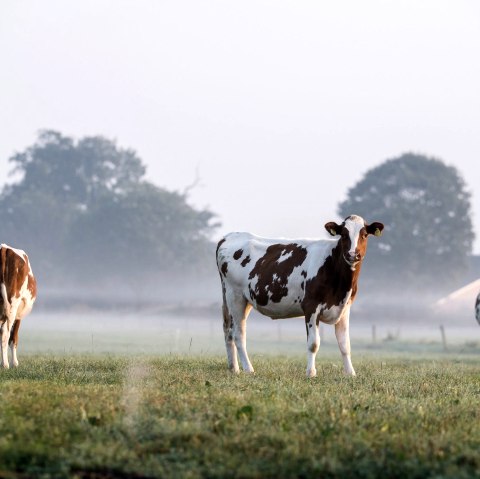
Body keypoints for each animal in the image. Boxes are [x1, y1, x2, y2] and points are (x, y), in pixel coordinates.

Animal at [216, 216, 384, 376]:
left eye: (364, 235)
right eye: (343, 234)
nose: (352, 255)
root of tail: (229, 236)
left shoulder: (344, 308)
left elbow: (345, 344)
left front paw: (350, 373)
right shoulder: (311, 306)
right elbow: (314, 344)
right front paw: (311, 372)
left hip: (242, 299)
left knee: (228, 330)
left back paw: (234, 368)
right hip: (235, 296)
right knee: (238, 334)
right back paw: (248, 369)